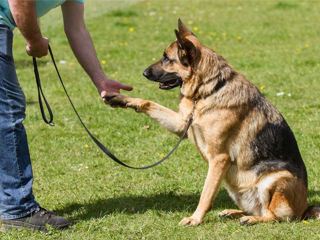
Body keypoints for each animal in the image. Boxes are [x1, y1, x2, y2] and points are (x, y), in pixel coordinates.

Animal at [108, 19, 320, 226]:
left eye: (167, 58)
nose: (144, 73)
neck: (208, 90)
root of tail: (305, 208)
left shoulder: (219, 159)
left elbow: (206, 194)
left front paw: (195, 219)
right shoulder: (182, 125)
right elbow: (148, 103)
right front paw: (121, 99)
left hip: (276, 178)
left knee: (274, 216)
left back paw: (251, 219)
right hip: (235, 186)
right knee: (258, 208)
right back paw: (233, 213)